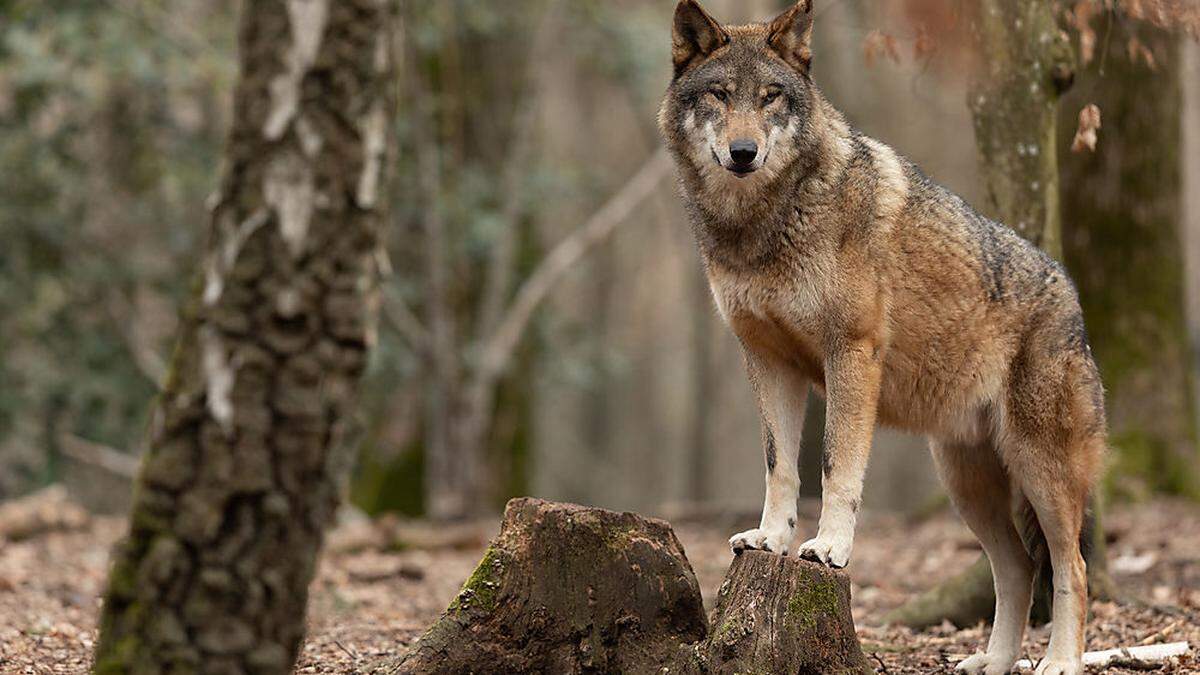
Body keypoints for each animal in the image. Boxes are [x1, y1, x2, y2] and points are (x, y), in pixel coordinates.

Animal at [657, 2, 1104, 667]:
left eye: (769, 97)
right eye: (719, 94)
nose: (743, 151)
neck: (762, 224)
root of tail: (1071, 294)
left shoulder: (851, 353)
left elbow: (835, 466)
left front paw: (829, 548)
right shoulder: (766, 360)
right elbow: (780, 466)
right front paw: (770, 539)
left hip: (1040, 472)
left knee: (1071, 566)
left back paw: (1060, 663)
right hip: (966, 485)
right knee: (1019, 569)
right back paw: (994, 663)